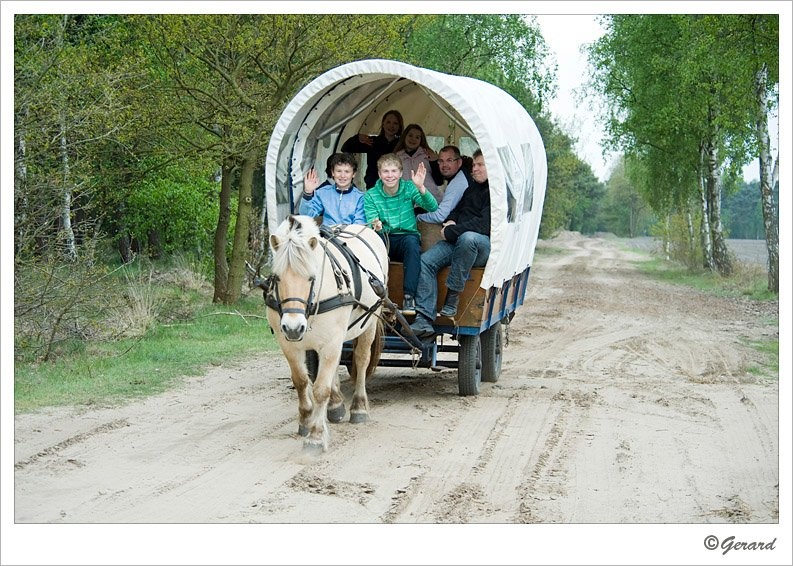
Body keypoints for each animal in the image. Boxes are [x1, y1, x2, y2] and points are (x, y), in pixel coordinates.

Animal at [266, 215, 390, 454]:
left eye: (311, 277)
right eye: (276, 278)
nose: (293, 327)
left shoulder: (331, 340)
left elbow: (320, 389)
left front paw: (315, 437)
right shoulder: (288, 344)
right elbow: (301, 381)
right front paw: (306, 420)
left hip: (370, 320)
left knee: (361, 360)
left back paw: (359, 407)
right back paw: (336, 405)